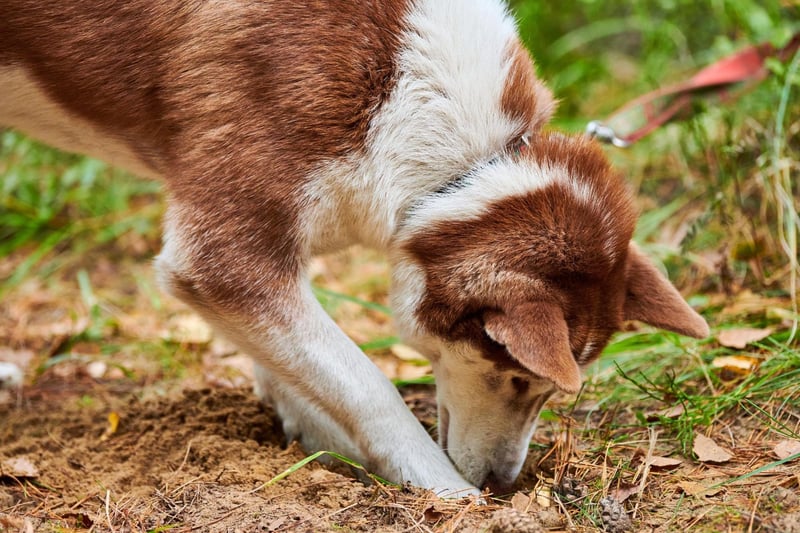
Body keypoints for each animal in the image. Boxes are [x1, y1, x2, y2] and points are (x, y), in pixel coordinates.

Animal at [0, 2, 708, 496]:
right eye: (513, 373)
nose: (502, 484)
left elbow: (299, 366)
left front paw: (314, 437)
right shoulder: (221, 257)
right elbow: (366, 385)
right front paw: (443, 492)